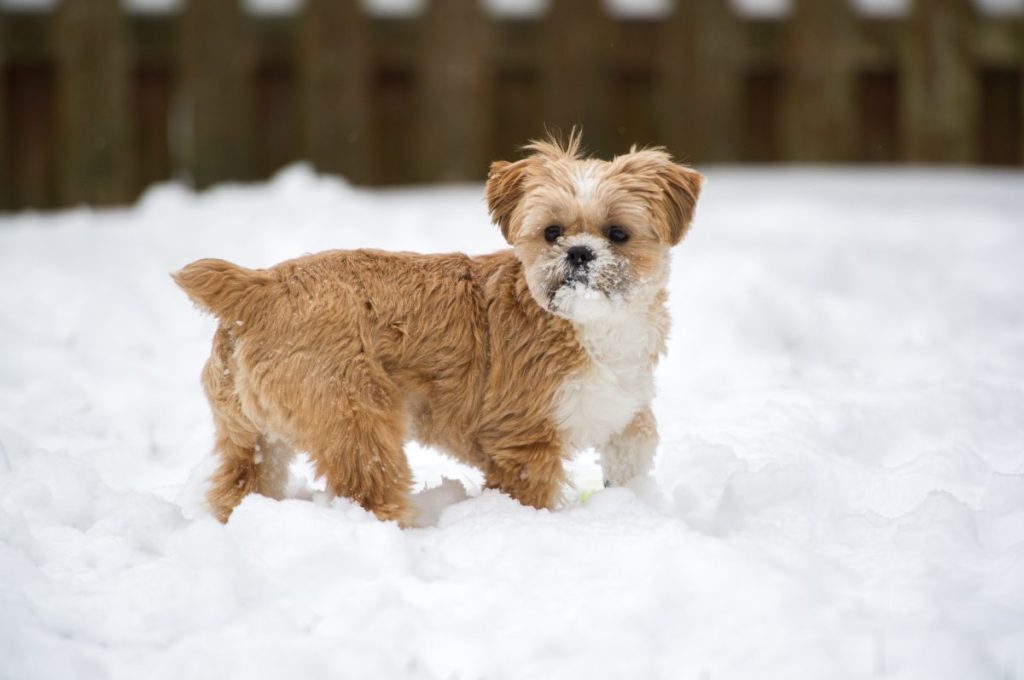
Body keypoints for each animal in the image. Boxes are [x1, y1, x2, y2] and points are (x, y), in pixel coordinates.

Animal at [174, 134, 704, 524]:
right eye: (552, 232)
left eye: (618, 233)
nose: (578, 252)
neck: (587, 323)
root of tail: (259, 287)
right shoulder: (523, 436)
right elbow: (531, 492)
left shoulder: (622, 406)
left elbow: (634, 443)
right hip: (358, 420)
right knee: (369, 493)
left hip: (251, 435)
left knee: (237, 487)